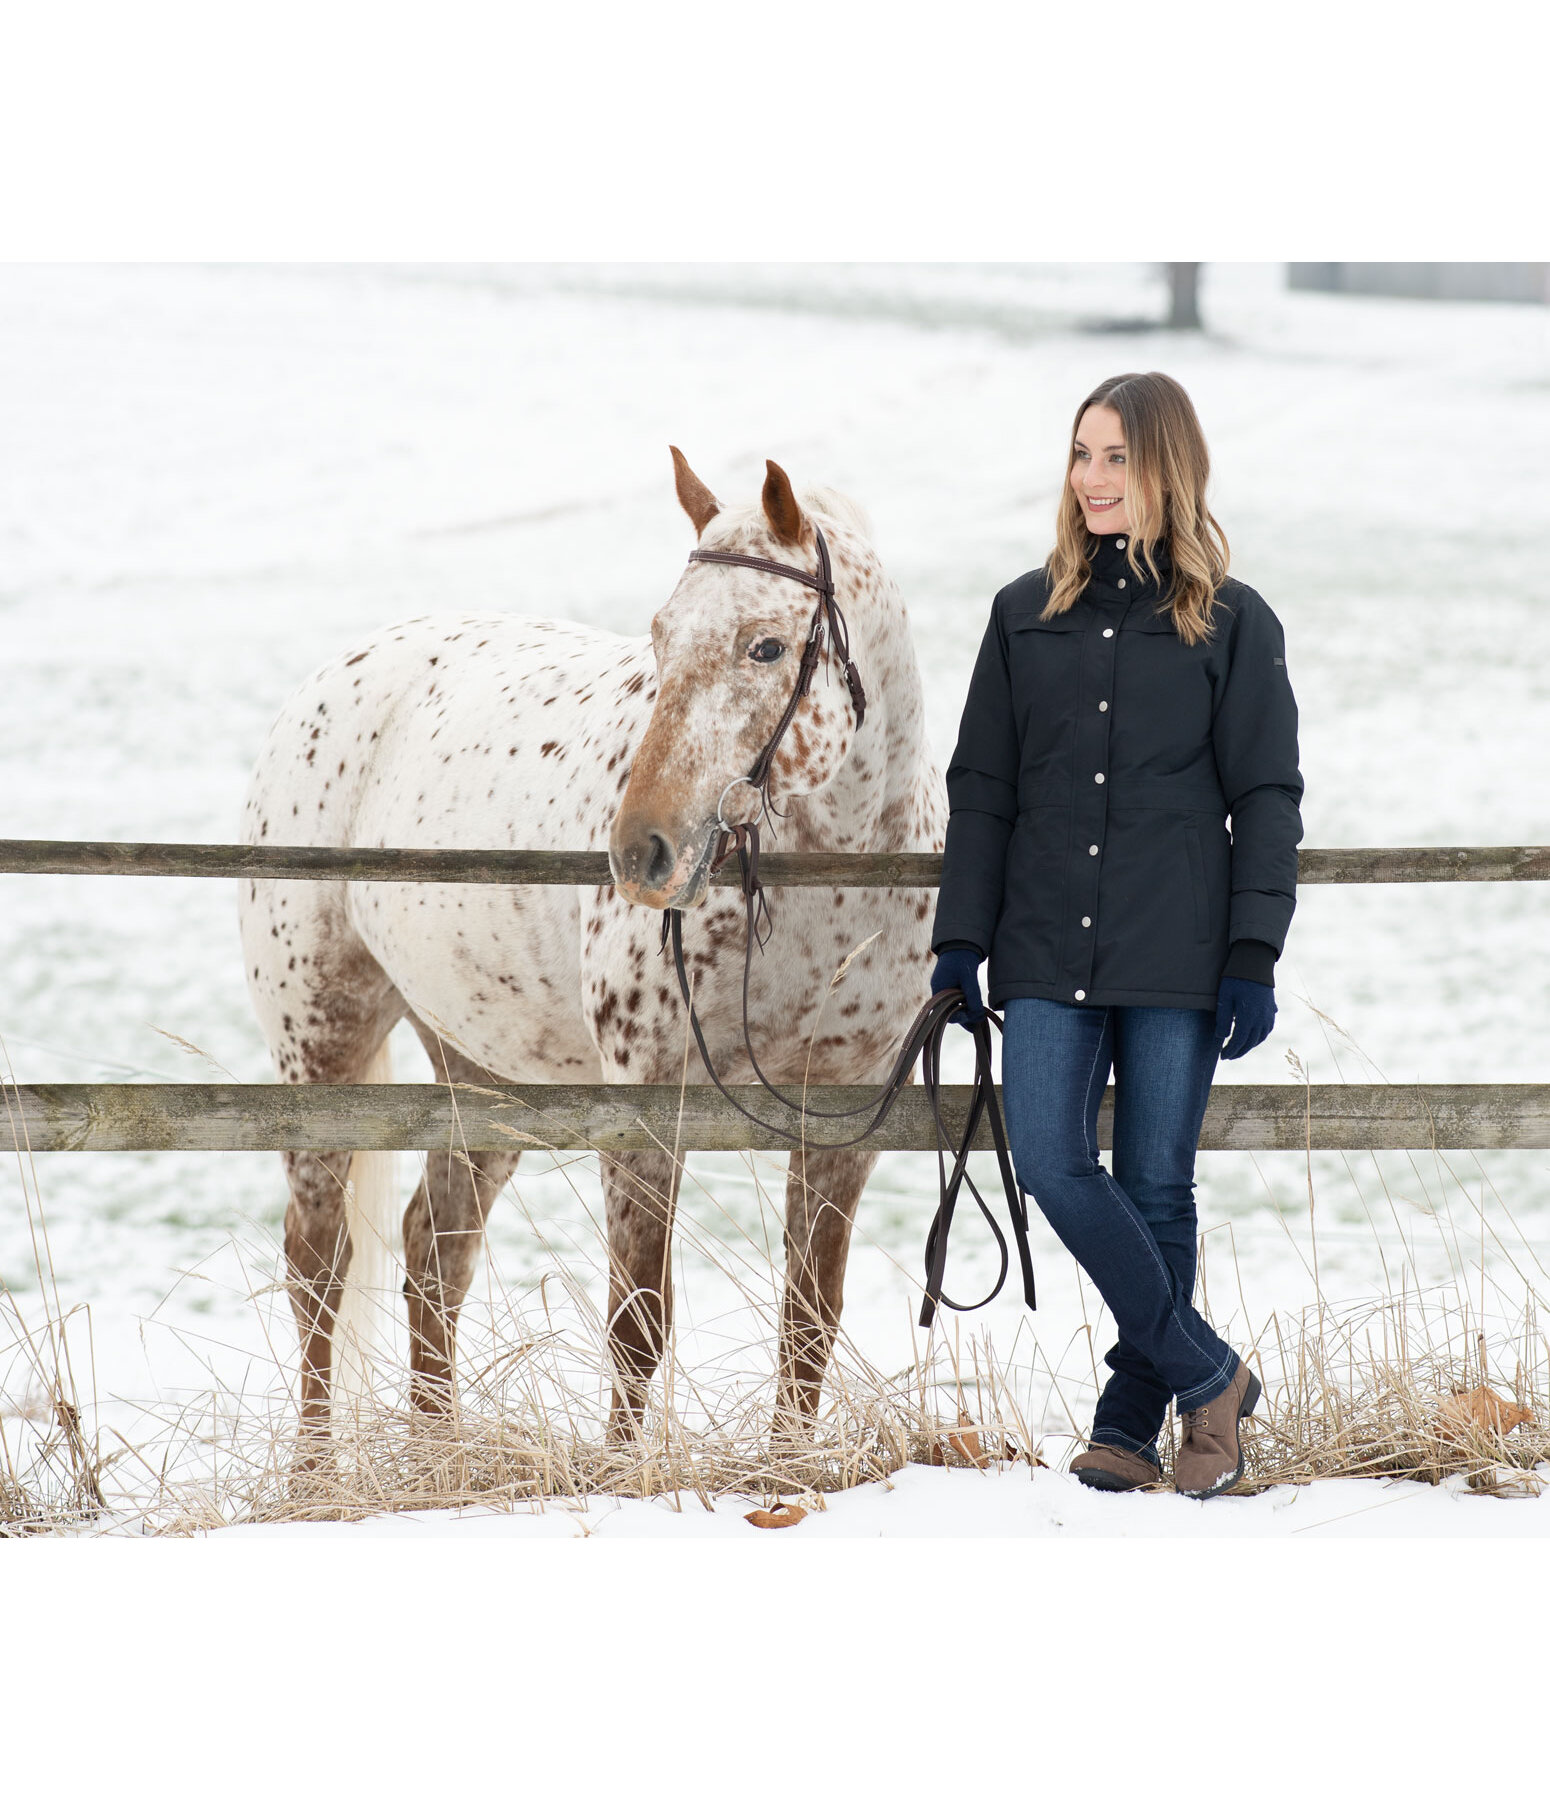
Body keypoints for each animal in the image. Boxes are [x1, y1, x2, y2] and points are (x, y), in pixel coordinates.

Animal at [237, 457, 950, 1454]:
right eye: (660, 635)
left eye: (767, 647)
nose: (641, 850)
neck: (830, 882)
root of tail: (336, 678)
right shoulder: (646, 1104)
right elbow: (637, 1324)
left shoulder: (847, 1110)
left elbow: (809, 1320)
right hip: (321, 1051)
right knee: (318, 1268)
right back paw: (317, 1470)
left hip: (484, 1074)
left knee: (433, 1253)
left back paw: (440, 1450)